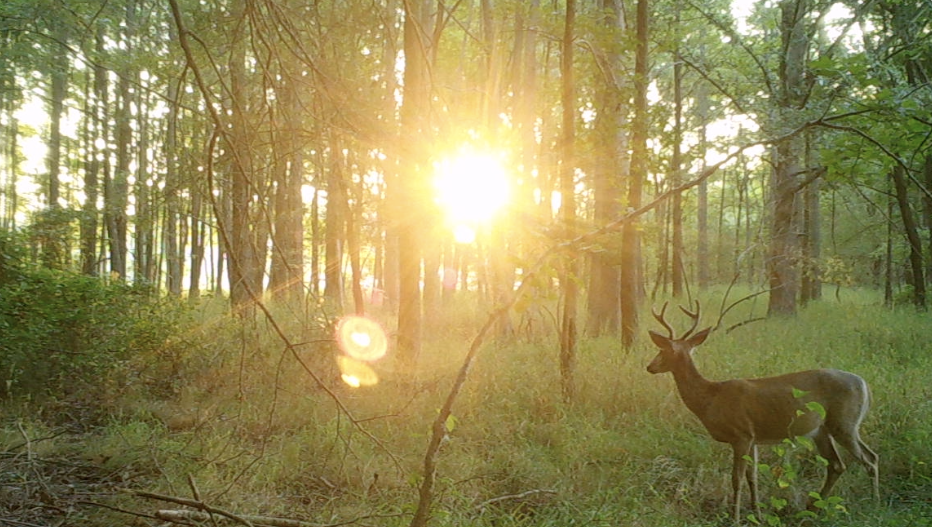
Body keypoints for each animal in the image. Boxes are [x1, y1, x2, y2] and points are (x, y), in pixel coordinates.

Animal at [644, 304, 876, 520]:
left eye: (664, 351)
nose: (649, 367)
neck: (711, 398)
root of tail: (864, 384)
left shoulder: (741, 434)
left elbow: (736, 478)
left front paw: (736, 517)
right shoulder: (754, 438)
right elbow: (752, 477)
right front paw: (758, 515)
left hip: (843, 423)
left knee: (869, 459)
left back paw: (875, 504)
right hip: (824, 430)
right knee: (838, 464)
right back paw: (812, 509)